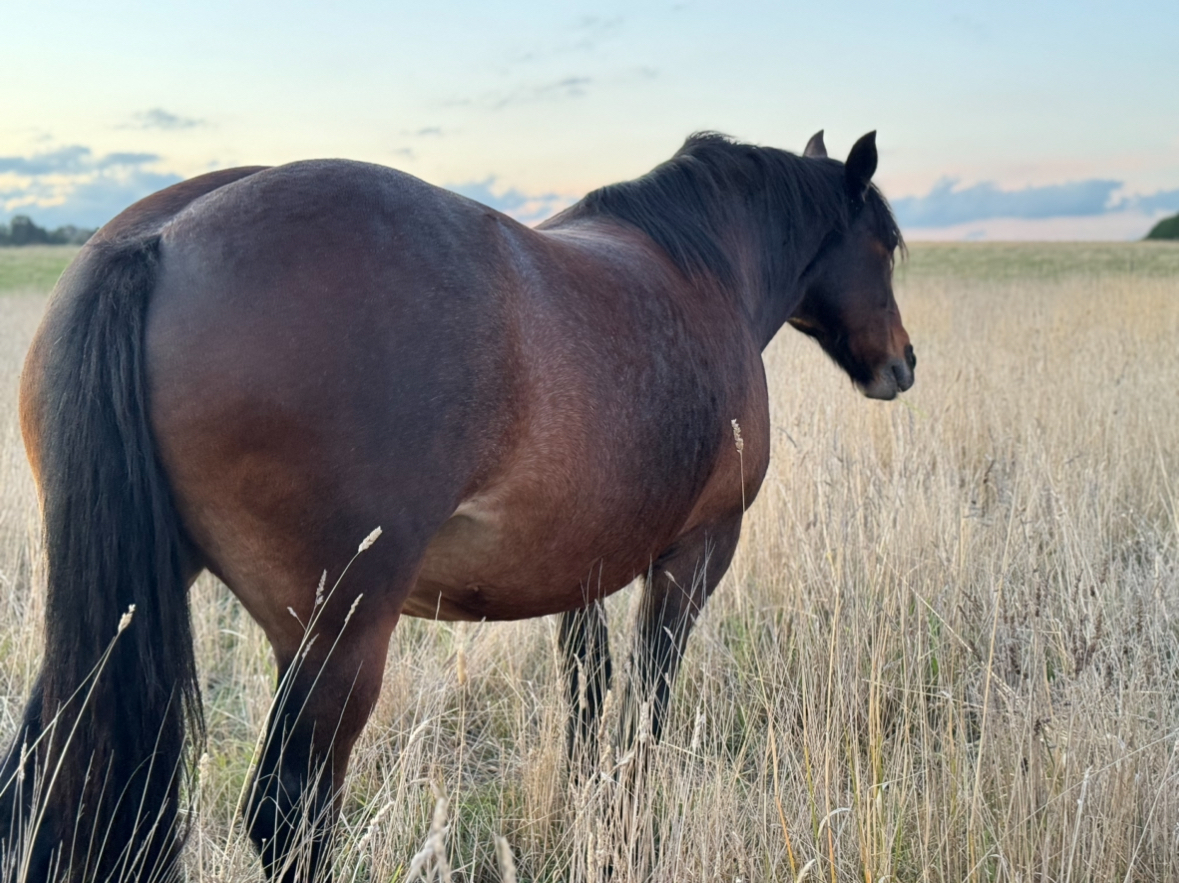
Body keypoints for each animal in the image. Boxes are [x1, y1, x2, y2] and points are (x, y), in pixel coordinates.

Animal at [0, 128, 913, 881]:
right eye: (888, 246)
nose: (901, 364)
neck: (701, 268)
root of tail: (160, 240)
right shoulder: (695, 556)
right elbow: (643, 712)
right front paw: (625, 829)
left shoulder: (581, 571)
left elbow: (587, 693)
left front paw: (580, 809)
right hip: (338, 638)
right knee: (288, 817)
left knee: (39, 778)